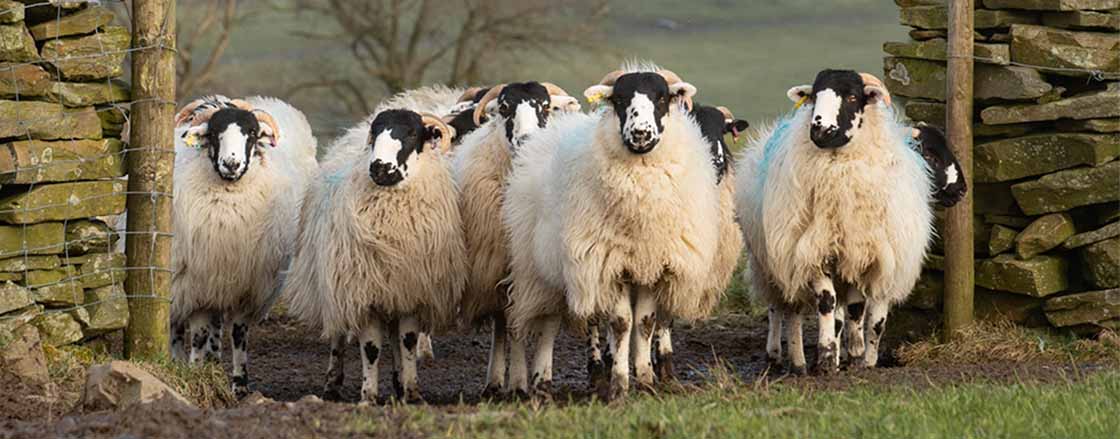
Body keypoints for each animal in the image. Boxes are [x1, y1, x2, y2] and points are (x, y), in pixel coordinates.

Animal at [167, 95, 318, 395]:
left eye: (251, 134)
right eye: (215, 134)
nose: (231, 164)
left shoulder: (245, 286)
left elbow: (238, 334)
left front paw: (239, 385)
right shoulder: (198, 283)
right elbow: (197, 335)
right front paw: (194, 373)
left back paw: (213, 360)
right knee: (176, 324)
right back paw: (179, 360)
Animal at [282, 106, 465, 403]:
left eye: (412, 132)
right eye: (376, 132)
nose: (380, 167)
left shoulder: (409, 292)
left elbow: (407, 343)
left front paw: (411, 392)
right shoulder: (365, 293)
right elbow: (370, 349)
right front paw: (368, 396)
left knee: (394, 339)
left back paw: (398, 382)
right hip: (336, 283)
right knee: (338, 335)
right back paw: (332, 384)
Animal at [451, 81, 580, 397]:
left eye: (546, 107)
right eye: (505, 107)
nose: (525, 140)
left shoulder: (544, 271)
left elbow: (549, 324)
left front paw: (542, 379)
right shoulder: (501, 268)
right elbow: (512, 327)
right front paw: (519, 382)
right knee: (502, 324)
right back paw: (496, 381)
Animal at [503, 62, 721, 400]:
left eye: (661, 98)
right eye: (619, 100)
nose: (641, 133)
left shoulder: (652, 263)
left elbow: (644, 323)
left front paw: (645, 381)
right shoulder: (610, 264)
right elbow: (620, 324)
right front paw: (619, 386)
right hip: (541, 268)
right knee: (546, 325)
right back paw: (541, 383)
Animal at [735, 70, 935, 374]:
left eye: (852, 97)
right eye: (815, 95)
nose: (820, 130)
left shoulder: (862, 255)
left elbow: (858, 311)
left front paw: (857, 356)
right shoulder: (814, 251)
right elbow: (826, 302)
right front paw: (828, 356)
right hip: (774, 261)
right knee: (784, 310)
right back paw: (788, 358)